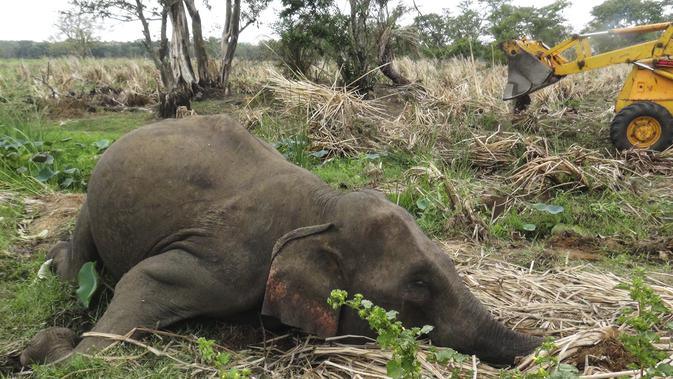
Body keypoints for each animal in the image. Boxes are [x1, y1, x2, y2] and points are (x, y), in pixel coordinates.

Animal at [19, 115, 540, 368]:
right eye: (418, 287)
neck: (324, 208)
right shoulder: (233, 261)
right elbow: (146, 278)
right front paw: (52, 354)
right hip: (93, 199)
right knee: (82, 261)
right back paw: (53, 266)